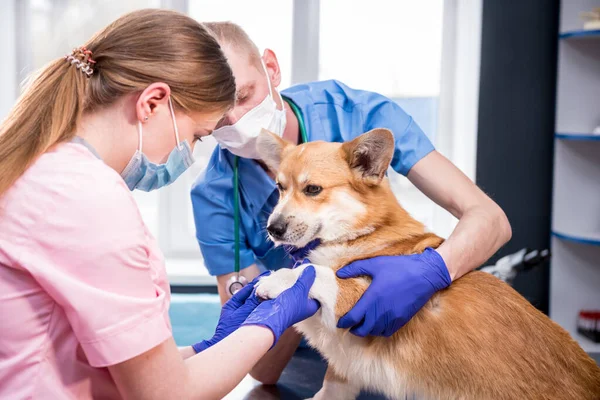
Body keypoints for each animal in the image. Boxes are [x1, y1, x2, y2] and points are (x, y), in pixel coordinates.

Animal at [252, 128, 600, 400]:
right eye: (280, 188)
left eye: (313, 189)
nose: (273, 228)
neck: (361, 234)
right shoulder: (345, 363)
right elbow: (333, 385)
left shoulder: (364, 299)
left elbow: (314, 272)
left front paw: (277, 279)